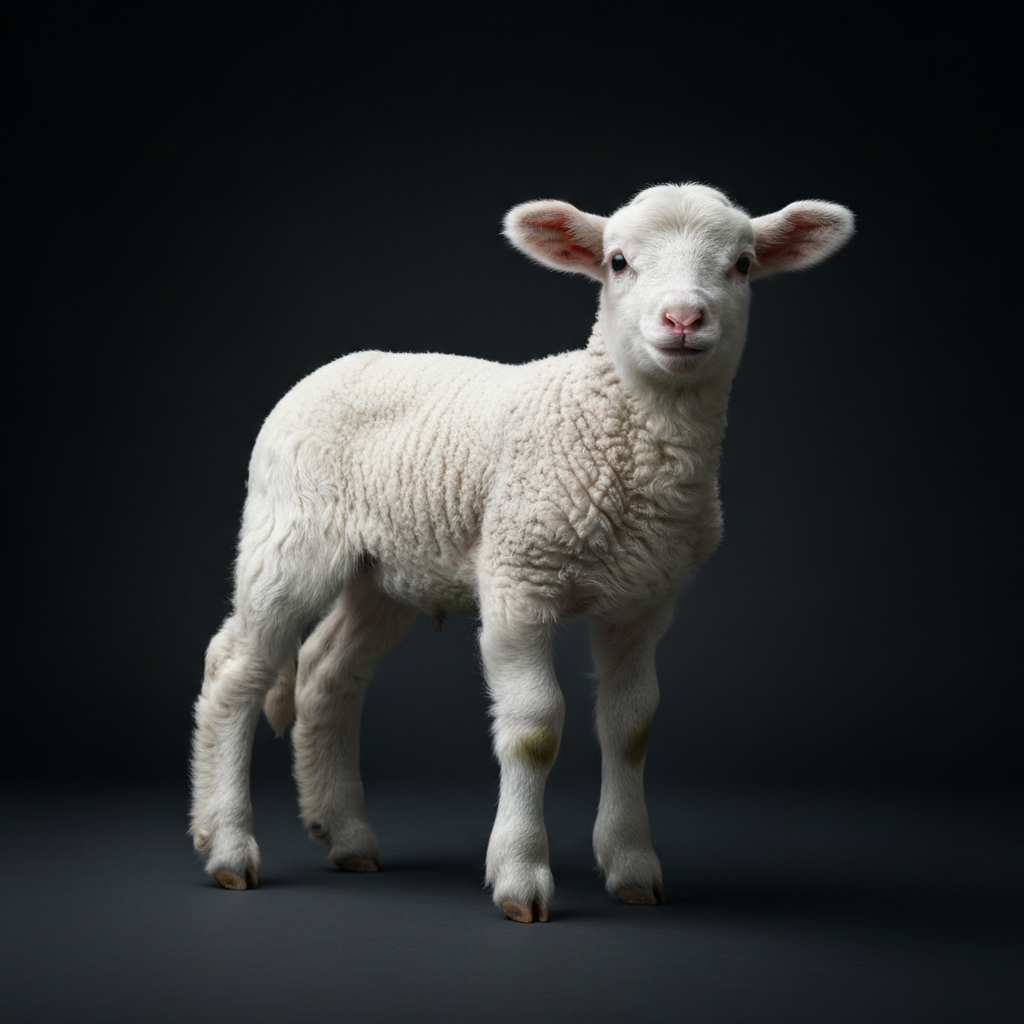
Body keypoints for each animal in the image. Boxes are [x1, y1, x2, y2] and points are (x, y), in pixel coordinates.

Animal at [190, 182, 855, 922]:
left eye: (741, 265)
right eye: (618, 262)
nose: (683, 319)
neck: (624, 432)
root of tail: (340, 366)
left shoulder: (643, 603)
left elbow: (631, 726)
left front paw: (632, 866)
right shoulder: (517, 583)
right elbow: (535, 728)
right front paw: (520, 875)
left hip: (386, 570)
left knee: (326, 672)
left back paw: (347, 835)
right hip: (289, 537)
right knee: (237, 669)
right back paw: (227, 846)